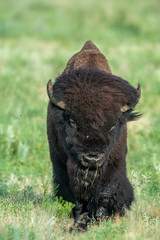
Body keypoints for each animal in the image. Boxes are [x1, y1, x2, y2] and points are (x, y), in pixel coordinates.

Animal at [46, 40, 140, 230]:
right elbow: (74, 196)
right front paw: (78, 222)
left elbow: (106, 192)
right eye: (72, 121)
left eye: (113, 124)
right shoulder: (63, 164)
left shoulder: (113, 164)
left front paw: (97, 219)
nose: (92, 158)